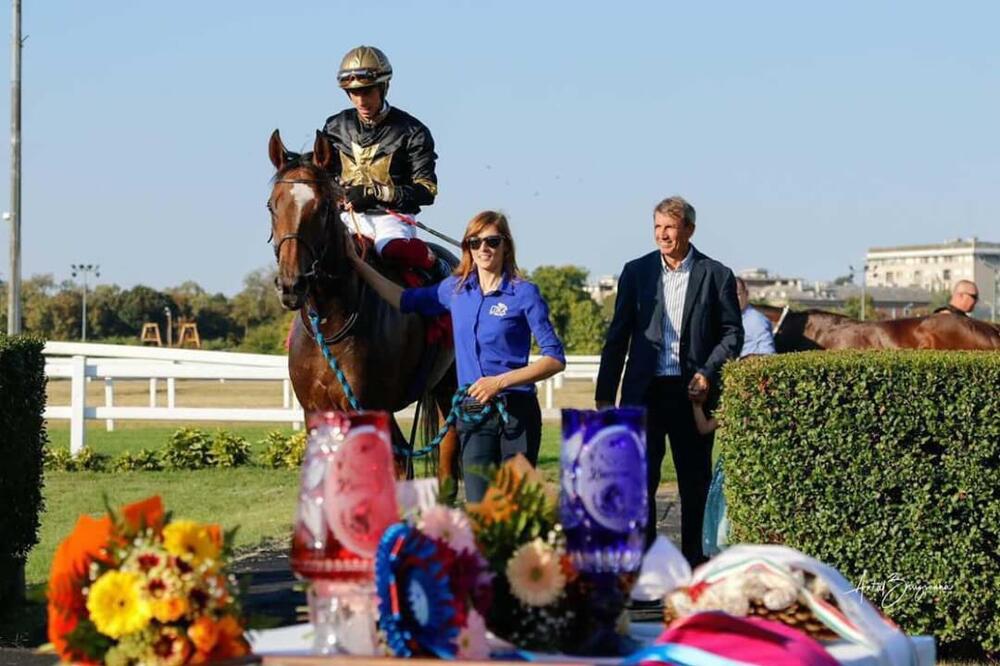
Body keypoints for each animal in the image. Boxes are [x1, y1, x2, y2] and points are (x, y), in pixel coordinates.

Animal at [266, 128, 460, 478]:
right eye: (273, 206)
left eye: (322, 209)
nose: (291, 284)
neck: (331, 321)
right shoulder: (316, 413)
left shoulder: (369, 408)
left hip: (450, 384)